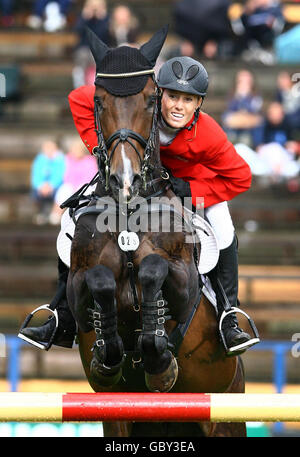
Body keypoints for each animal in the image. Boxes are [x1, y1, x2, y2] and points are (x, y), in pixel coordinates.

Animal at [67, 26, 247, 436]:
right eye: (98, 101)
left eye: (152, 100)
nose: (125, 181)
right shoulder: (78, 286)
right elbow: (98, 281)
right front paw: (109, 353)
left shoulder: (184, 283)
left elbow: (153, 271)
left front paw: (159, 358)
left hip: (224, 415)